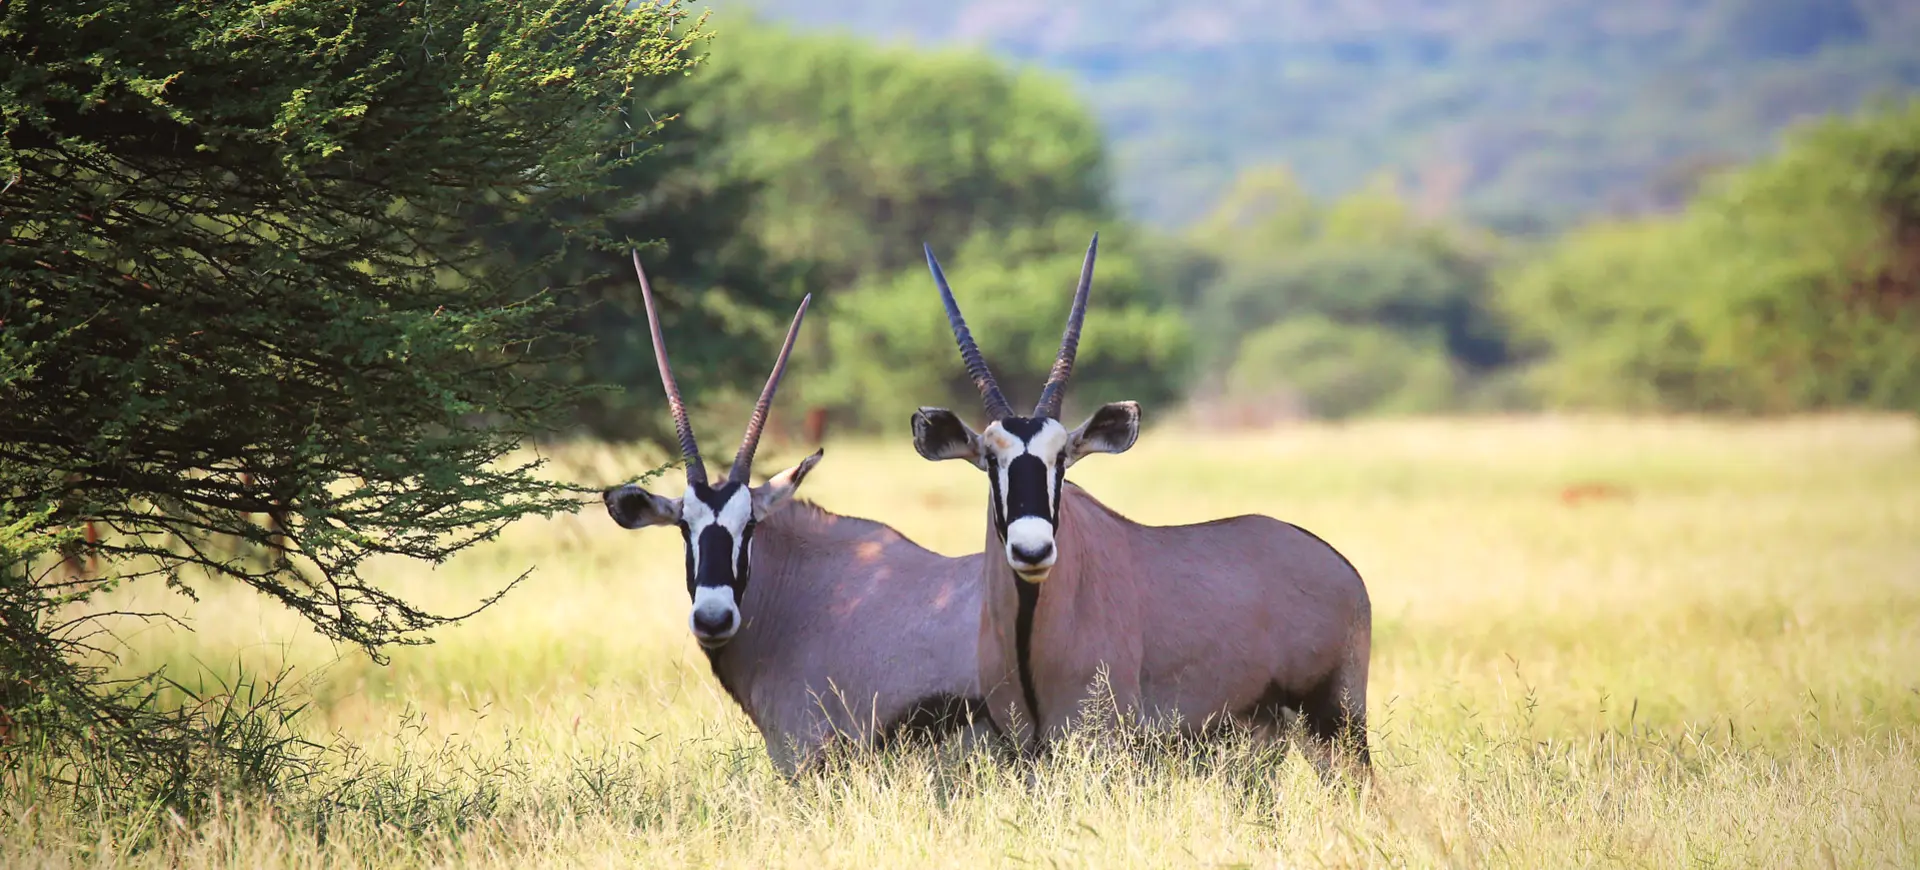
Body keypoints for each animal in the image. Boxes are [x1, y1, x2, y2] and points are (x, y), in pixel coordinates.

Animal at [906, 235, 1374, 768]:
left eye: (1062, 459)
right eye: (989, 459)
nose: (1032, 551)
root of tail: (1342, 567)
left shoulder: (1098, 740)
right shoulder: (1020, 746)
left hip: (1337, 723)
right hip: (1265, 730)